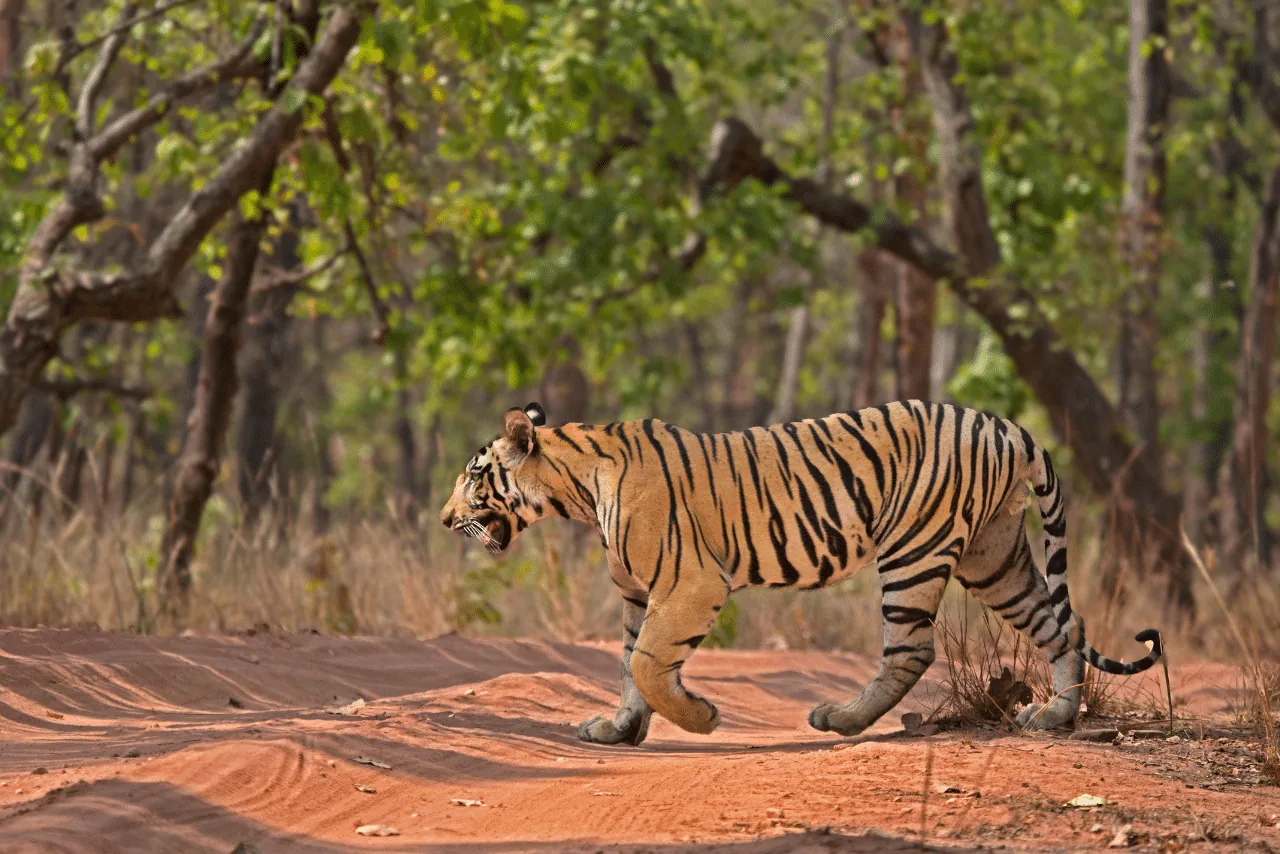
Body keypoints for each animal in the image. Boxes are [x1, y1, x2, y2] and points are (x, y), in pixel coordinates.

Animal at [439, 400, 1162, 746]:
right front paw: (618, 730)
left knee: (912, 648)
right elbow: (627, 665)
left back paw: (839, 720)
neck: (577, 488)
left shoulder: (691, 583)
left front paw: (700, 719)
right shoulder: (638, 593)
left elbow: (646, 662)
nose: (446, 520)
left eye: (474, 477)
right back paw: (1055, 716)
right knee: (1060, 626)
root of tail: (1008, 425)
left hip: (914, 548)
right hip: (996, 559)